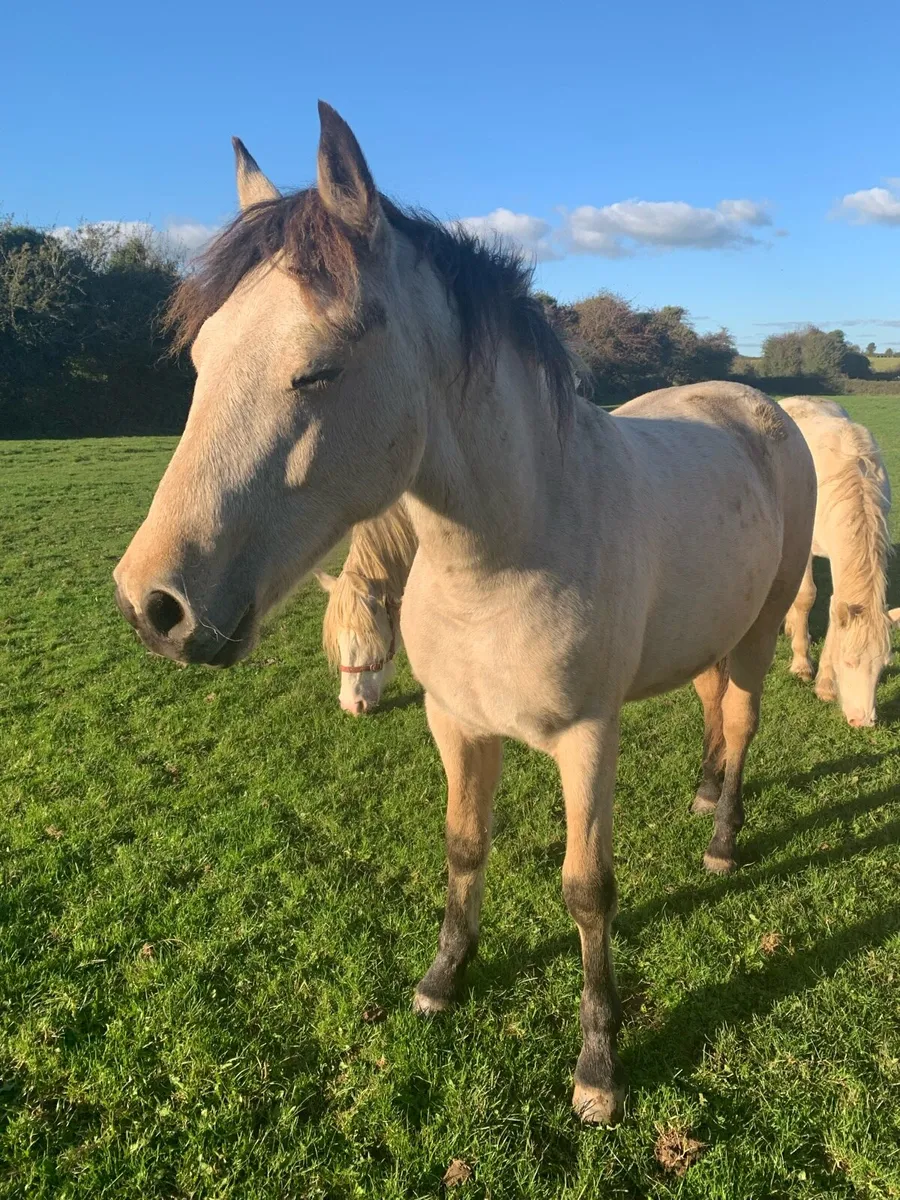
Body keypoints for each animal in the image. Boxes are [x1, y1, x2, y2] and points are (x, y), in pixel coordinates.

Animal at [782, 396, 898, 726]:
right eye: (849, 661)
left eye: (883, 666)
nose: (863, 721)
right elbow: (807, 597)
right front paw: (802, 665)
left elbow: (837, 607)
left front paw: (825, 685)